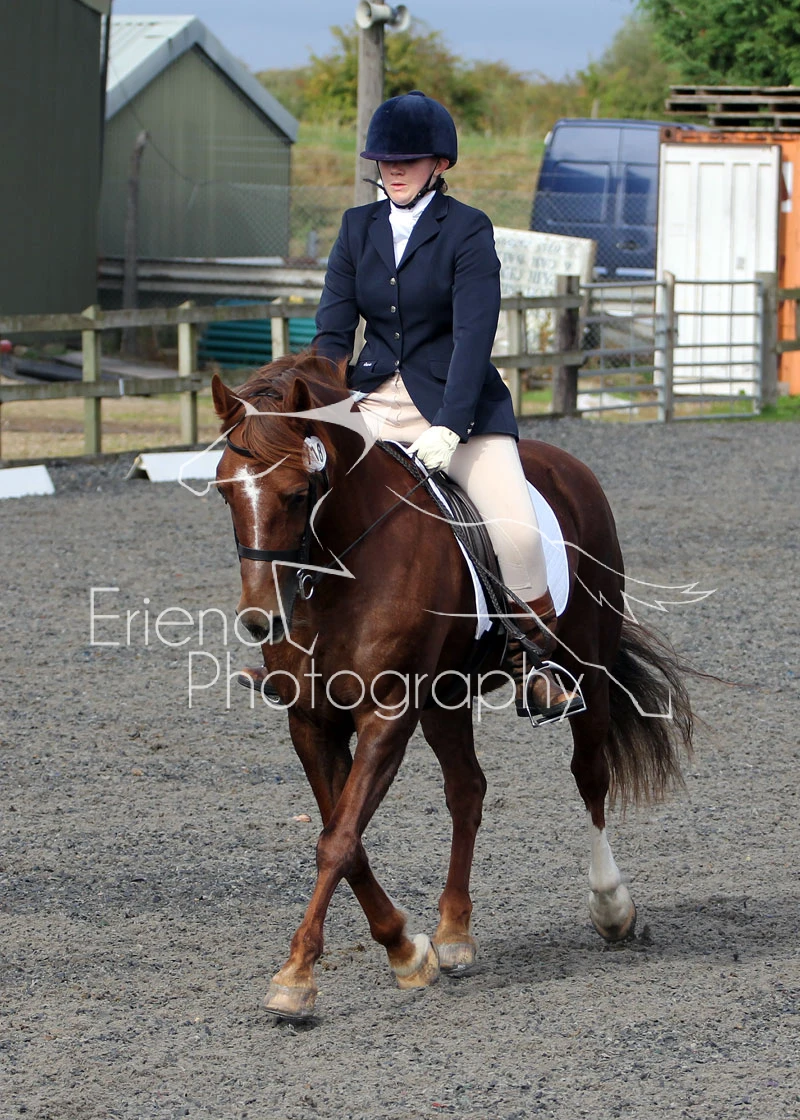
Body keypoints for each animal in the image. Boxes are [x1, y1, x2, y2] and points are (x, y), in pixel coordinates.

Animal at [210, 352, 693, 1022]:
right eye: (225, 489)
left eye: (299, 492)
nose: (262, 620)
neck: (341, 570)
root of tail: (568, 467)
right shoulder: (311, 722)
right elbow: (347, 836)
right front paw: (406, 950)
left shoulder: (387, 713)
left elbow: (338, 840)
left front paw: (297, 975)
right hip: (445, 696)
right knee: (467, 789)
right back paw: (455, 932)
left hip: (586, 671)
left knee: (590, 776)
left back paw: (611, 907)